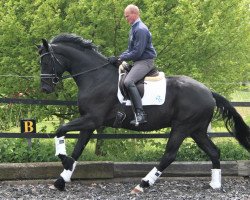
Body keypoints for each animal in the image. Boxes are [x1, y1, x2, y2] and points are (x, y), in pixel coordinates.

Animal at [37, 33, 250, 193]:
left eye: (46, 61)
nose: (45, 88)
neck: (95, 77)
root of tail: (209, 92)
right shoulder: (89, 122)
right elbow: (77, 149)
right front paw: (62, 179)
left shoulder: (92, 119)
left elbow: (60, 130)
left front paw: (62, 160)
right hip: (196, 130)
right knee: (214, 151)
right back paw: (215, 184)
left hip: (182, 127)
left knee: (169, 155)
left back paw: (143, 184)